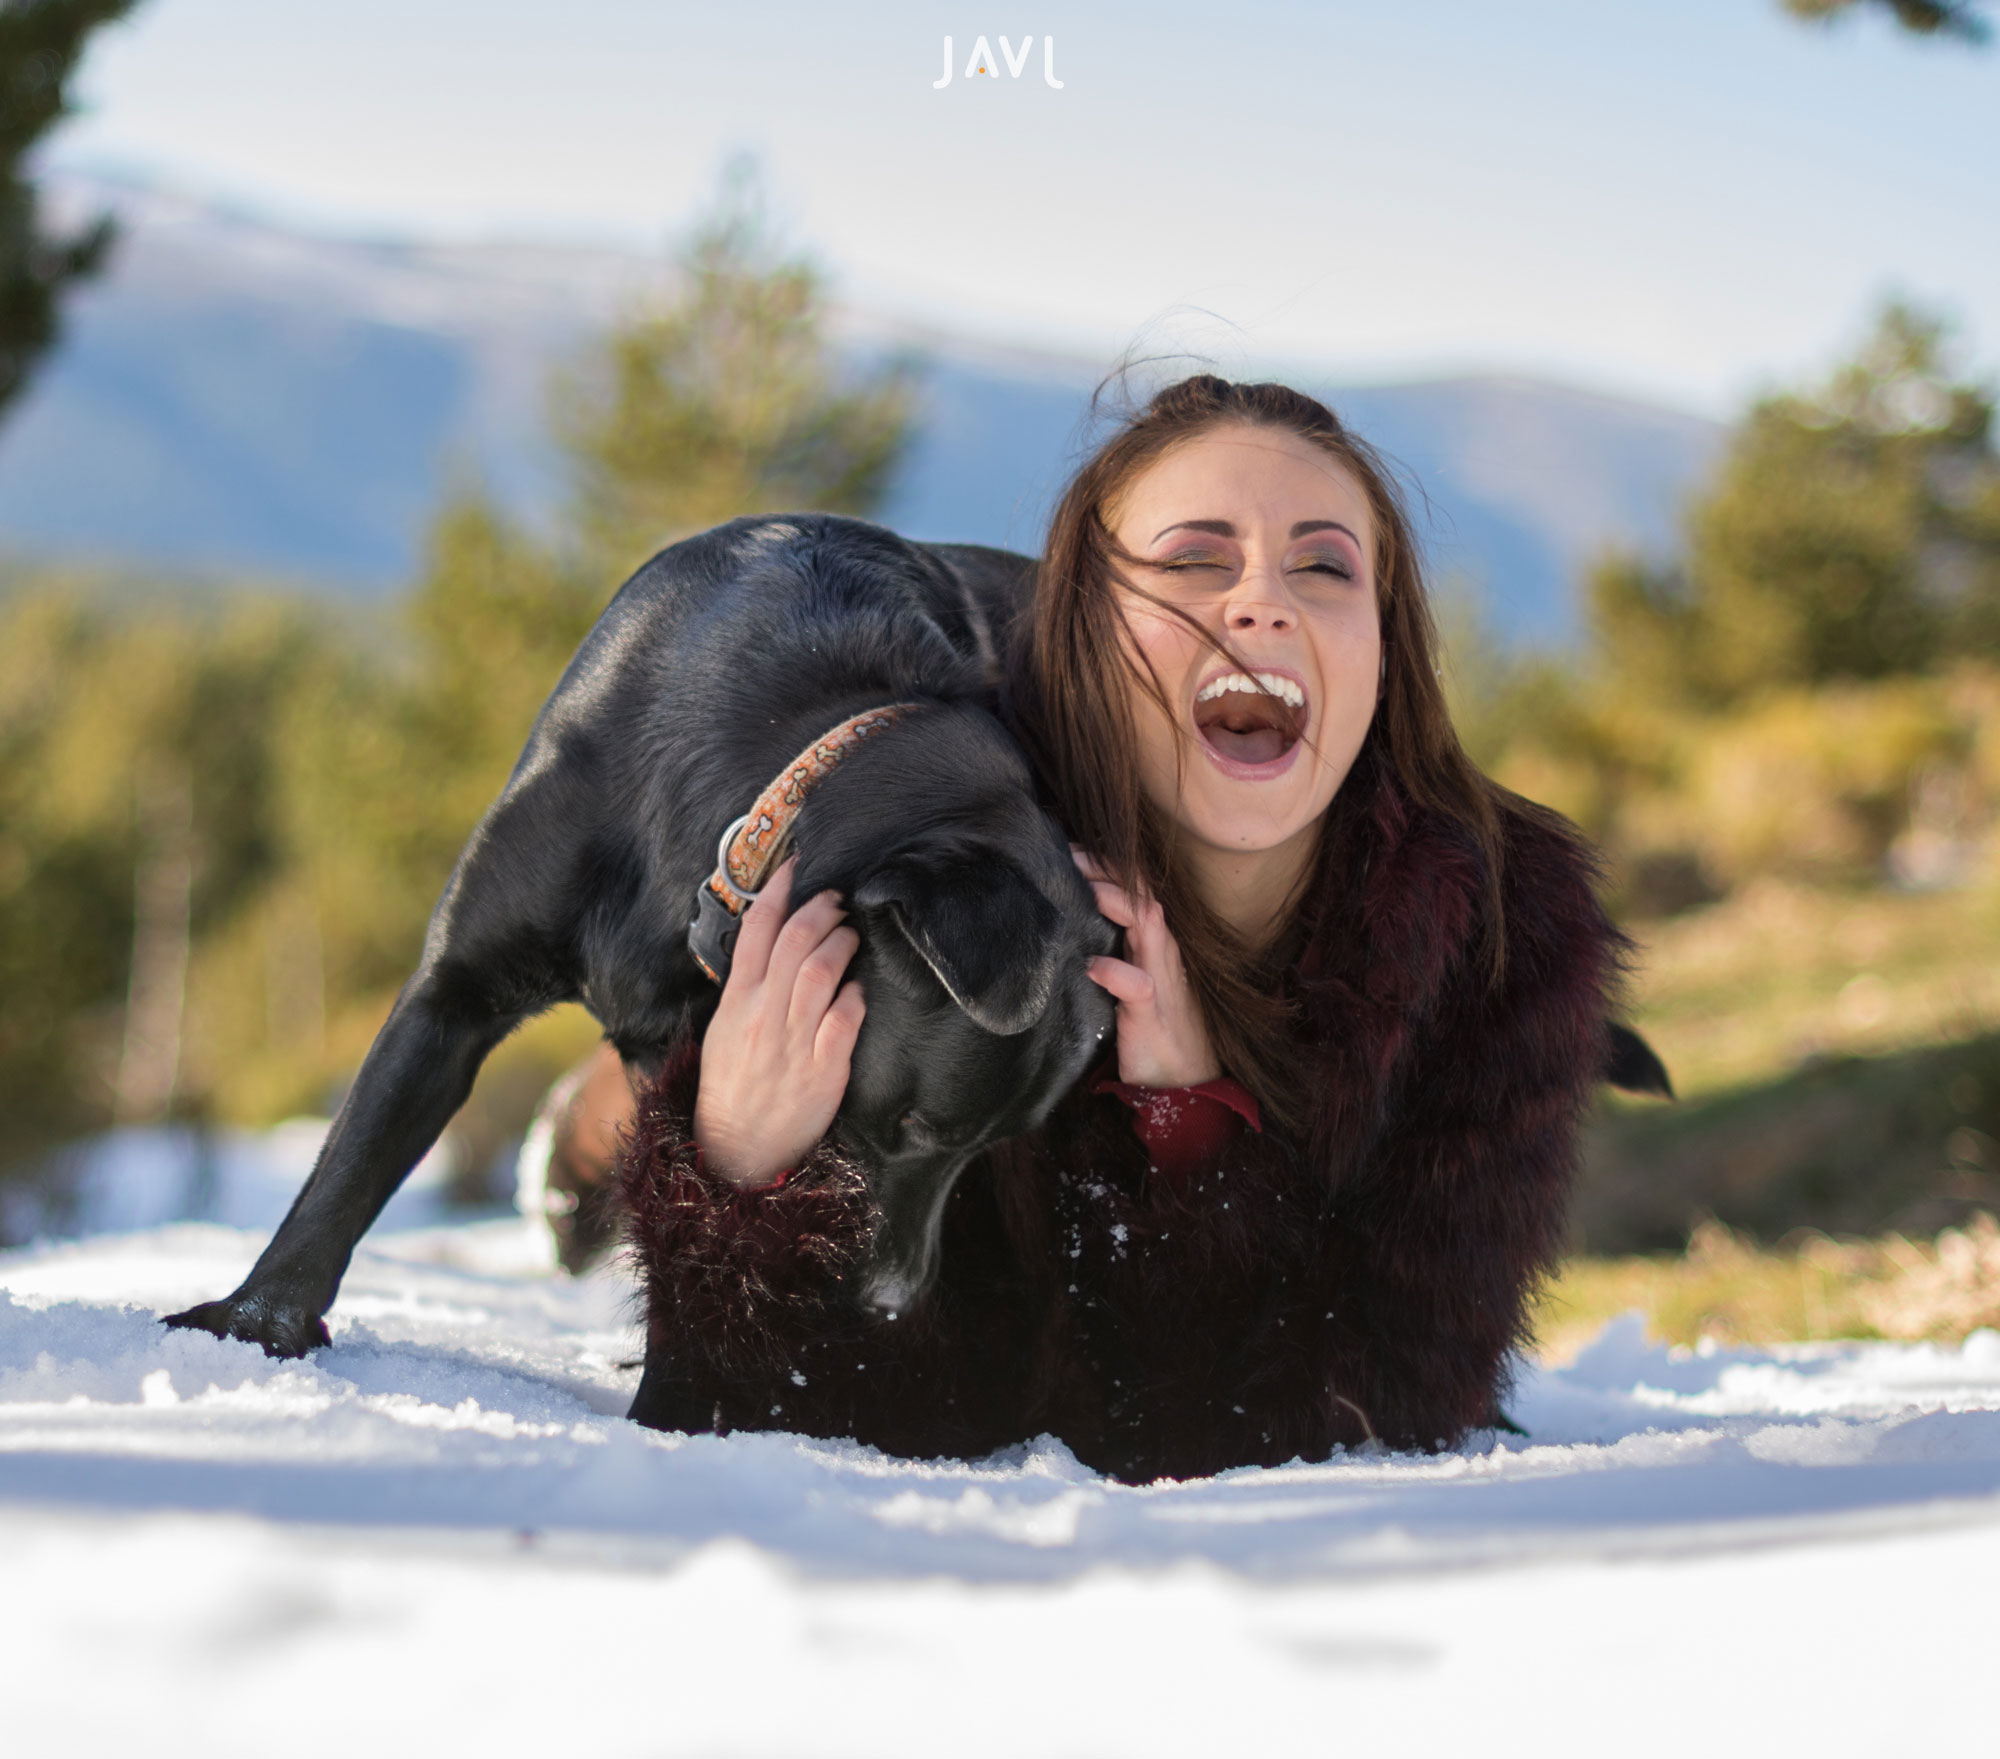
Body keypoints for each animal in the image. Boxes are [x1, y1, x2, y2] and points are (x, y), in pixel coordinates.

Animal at [164, 515, 1120, 1351]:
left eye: (976, 1144)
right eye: (911, 1126)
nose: (889, 1305)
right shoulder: (454, 990)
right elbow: (349, 1167)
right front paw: (258, 1321)